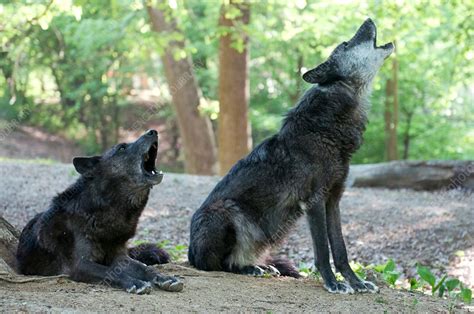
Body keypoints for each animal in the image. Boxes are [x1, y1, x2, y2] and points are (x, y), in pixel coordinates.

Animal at [188, 19, 392, 294]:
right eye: (346, 44)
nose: (369, 20)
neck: (326, 129)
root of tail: (189, 253)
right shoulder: (314, 201)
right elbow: (323, 251)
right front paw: (332, 283)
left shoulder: (333, 200)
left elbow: (340, 250)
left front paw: (356, 283)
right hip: (226, 211)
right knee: (217, 265)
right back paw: (249, 269)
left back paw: (259, 266)